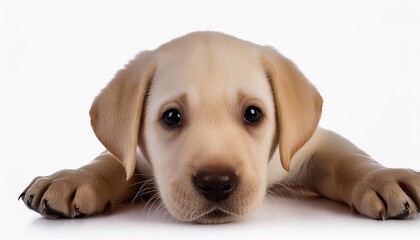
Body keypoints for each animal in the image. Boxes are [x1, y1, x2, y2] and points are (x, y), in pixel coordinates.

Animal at [19, 31, 420, 223]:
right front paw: (73, 178)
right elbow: (111, 162)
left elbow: (348, 159)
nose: (216, 183)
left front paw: (382, 178)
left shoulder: (310, 146)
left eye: (253, 114)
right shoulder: (138, 157)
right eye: (171, 117)